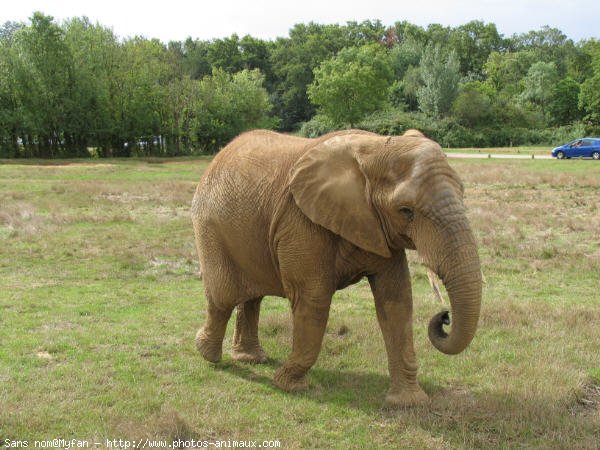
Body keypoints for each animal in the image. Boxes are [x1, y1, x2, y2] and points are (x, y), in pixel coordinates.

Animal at [192, 127, 482, 408]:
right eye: (405, 211)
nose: (444, 317)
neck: (374, 147)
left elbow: (396, 301)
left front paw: (409, 402)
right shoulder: (301, 221)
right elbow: (314, 298)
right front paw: (291, 385)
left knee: (252, 298)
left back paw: (250, 358)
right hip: (210, 226)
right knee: (223, 297)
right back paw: (208, 354)